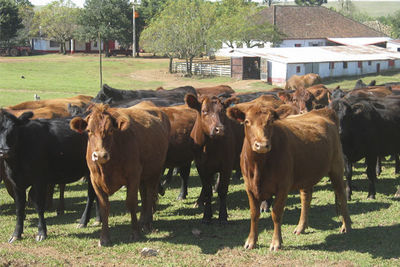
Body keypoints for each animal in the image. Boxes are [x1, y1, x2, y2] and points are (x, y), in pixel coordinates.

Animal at [0, 110, 97, 244]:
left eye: (14, 129)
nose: (4, 151)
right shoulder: (16, 183)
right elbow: (19, 209)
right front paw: (16, 234)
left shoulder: (39, 181)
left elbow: (39, 206)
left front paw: (41, 233)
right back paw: (97, 220)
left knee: (92, 195)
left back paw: (83, 221)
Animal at [69, 103, 170, 247]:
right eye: (89, 131)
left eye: (111, 130)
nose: (100, 155)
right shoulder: (95, 181)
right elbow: (104, 207)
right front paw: (104, 238)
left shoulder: (133, 176)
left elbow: (131, 203)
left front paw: (135, 233)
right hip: (143, 176)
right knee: (144, 195)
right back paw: (142, 220)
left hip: (154, 171)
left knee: (150, 194)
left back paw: (148, 223)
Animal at [185, 94, 244, 224]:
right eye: (204, 111)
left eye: (222, 111)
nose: (220, 129)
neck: (209, 146)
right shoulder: (201, 166)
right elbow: (208, 191)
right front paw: (206, 216)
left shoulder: (226, 166)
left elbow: (222, 190)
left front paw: (223, 216)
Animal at [227, 106, 352, 251]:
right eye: (247, 121)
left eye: (271, 121)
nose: (262, 145)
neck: (259, 166)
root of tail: (323, 111)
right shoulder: (249, 187)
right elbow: (254, 214)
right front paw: (251, 241)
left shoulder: (283, 187)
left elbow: (276, 213)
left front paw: (276, 242)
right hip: (306, 173)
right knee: (306, 197)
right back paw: (301, 227)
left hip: (336, 168)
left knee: (341, 194)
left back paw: (346, 226)